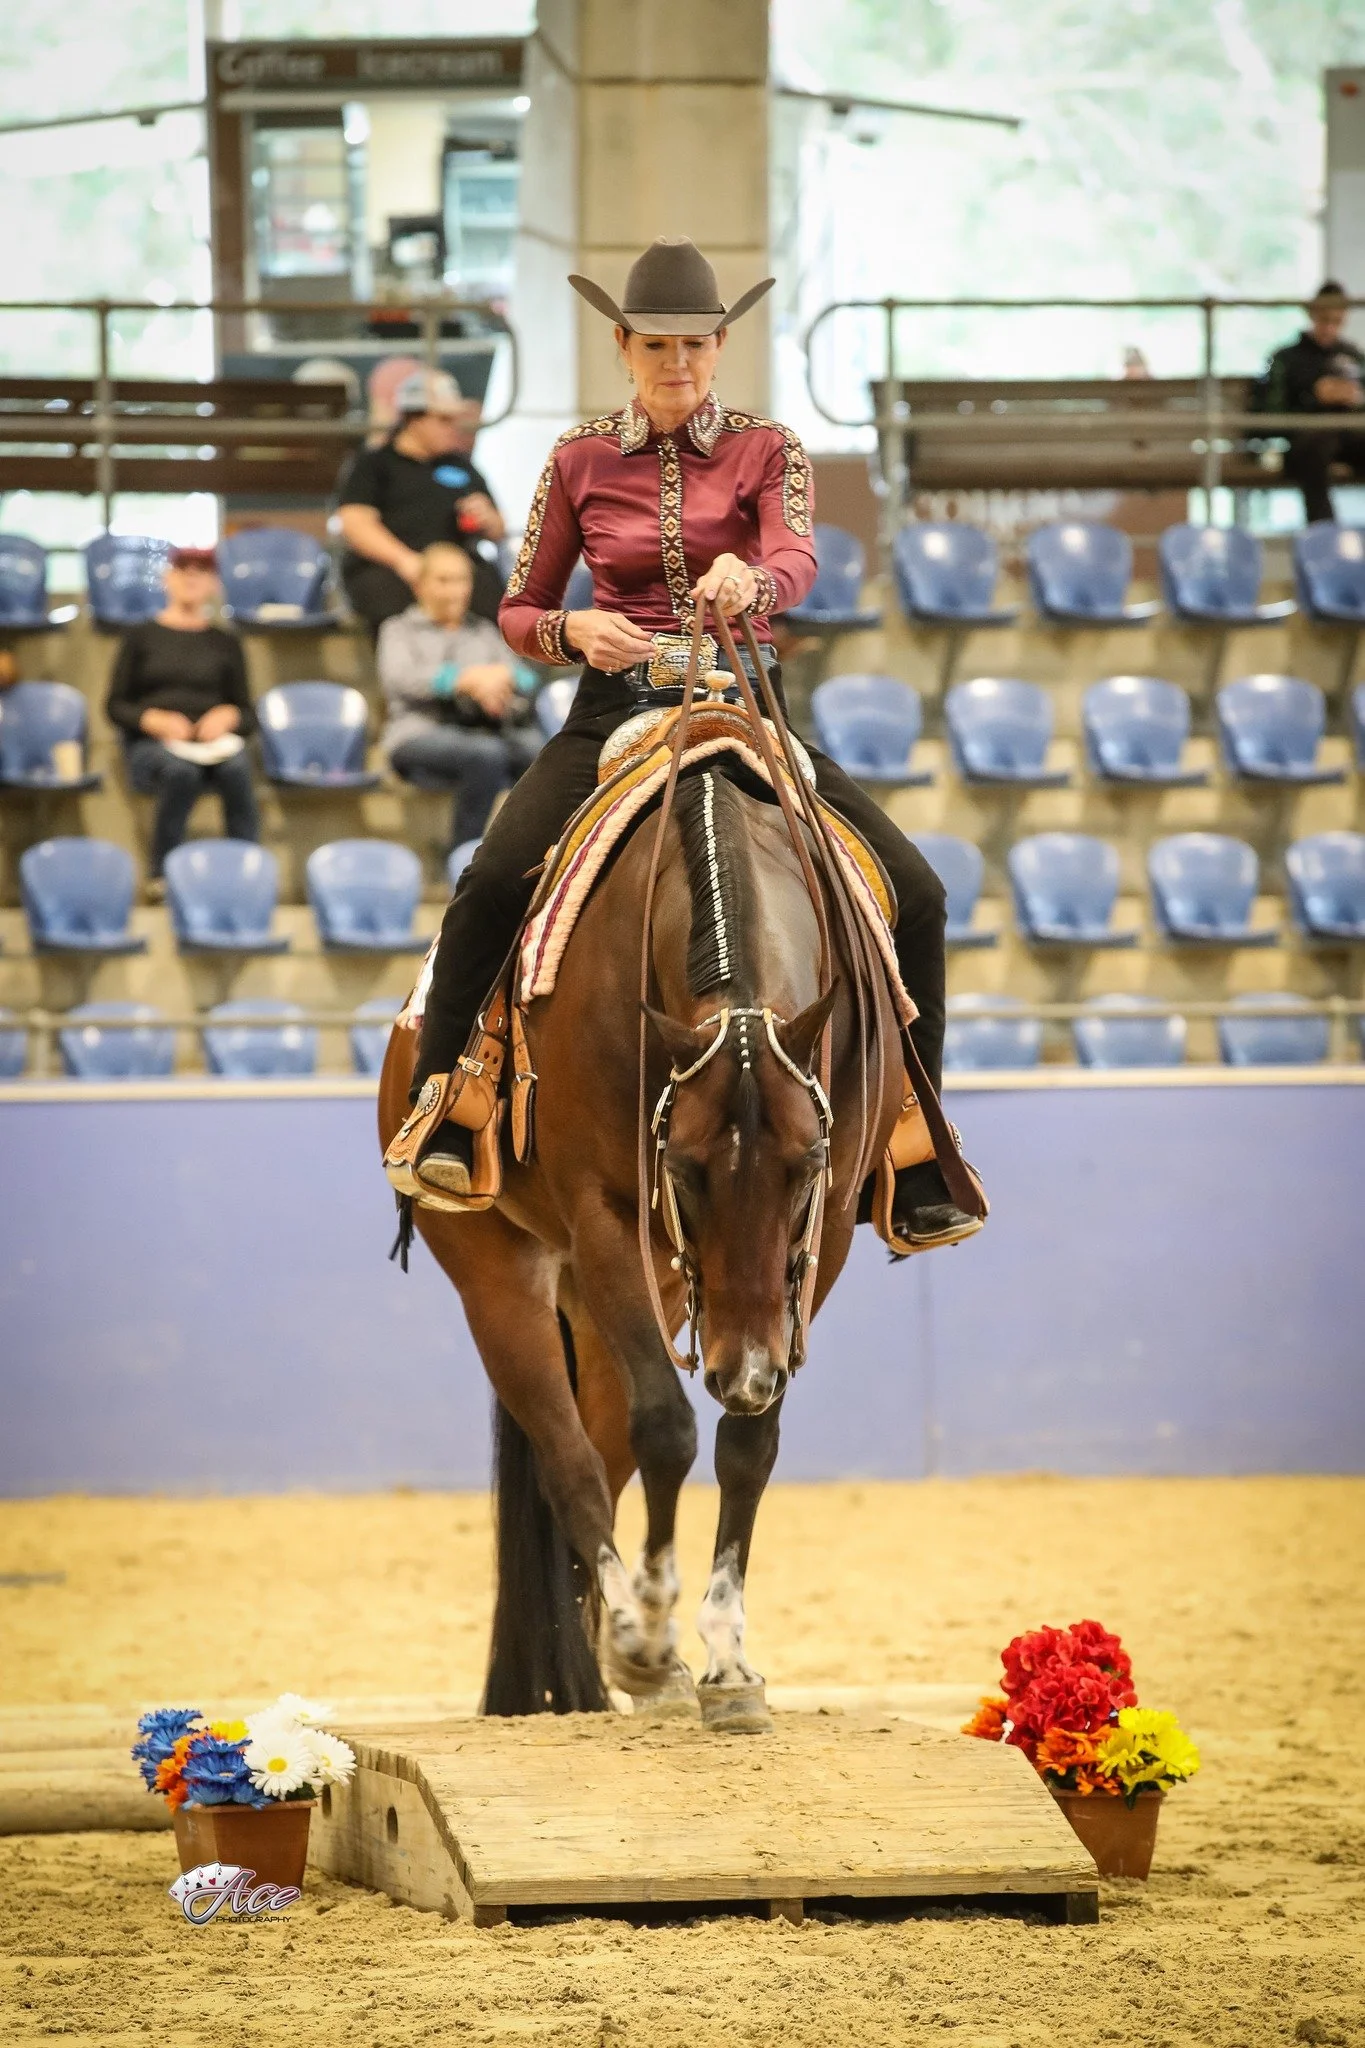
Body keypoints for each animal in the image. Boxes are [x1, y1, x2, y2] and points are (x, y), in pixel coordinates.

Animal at [377, 620, 904, 1726]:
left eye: (804, 1167)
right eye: (687, 1171)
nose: (742, 1369)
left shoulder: (819, 1241)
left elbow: (747, 1441)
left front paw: (727, 1659)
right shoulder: (607, 1213)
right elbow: (667, 1425)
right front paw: (654, 1631)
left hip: (634, 1292)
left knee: (606, 1447)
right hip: (509, 1277)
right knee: (571, 1460)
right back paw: (620, 1646)